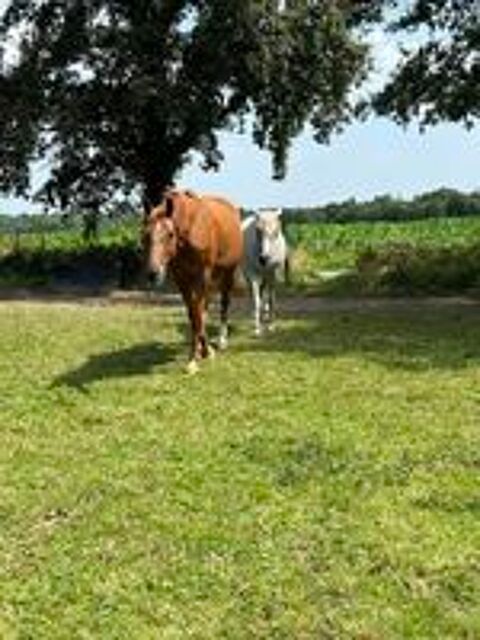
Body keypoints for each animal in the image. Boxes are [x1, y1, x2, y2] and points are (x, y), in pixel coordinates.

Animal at [143, 188, 243, 374]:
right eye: (145, 235)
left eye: (170, 234)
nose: (153, 273)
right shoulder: (182, 279)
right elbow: (194, 314)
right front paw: (203, 351)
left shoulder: (201, 276)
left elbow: (197, 314)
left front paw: (193, 360)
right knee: (204, 308)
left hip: (227, 273)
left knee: (224, 304)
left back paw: (222, 341)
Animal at [242, 207, 289, 336]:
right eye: (258, 230)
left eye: (277, 232)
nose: (264, 258)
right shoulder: (252, 274)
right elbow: (256, 301)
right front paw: (257, 328)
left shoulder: (273, 273)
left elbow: (271, 299)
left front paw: (271, 325)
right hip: (251, 275)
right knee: (256, 294)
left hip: (266, 276)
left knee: (264, 293)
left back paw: (265, 315)